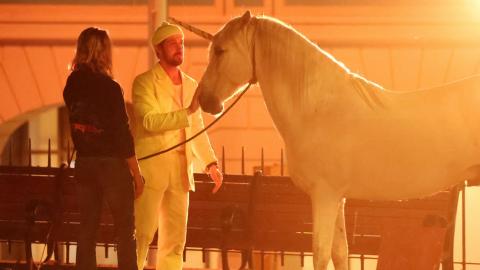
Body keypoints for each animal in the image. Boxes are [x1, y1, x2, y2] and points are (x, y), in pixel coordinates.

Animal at [187, 11, 480, 270]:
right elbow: (340, 253)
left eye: (220, 50)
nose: (204, 100)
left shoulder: (324, 195)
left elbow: (320, 253)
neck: (317, 109)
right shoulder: (338, 198)